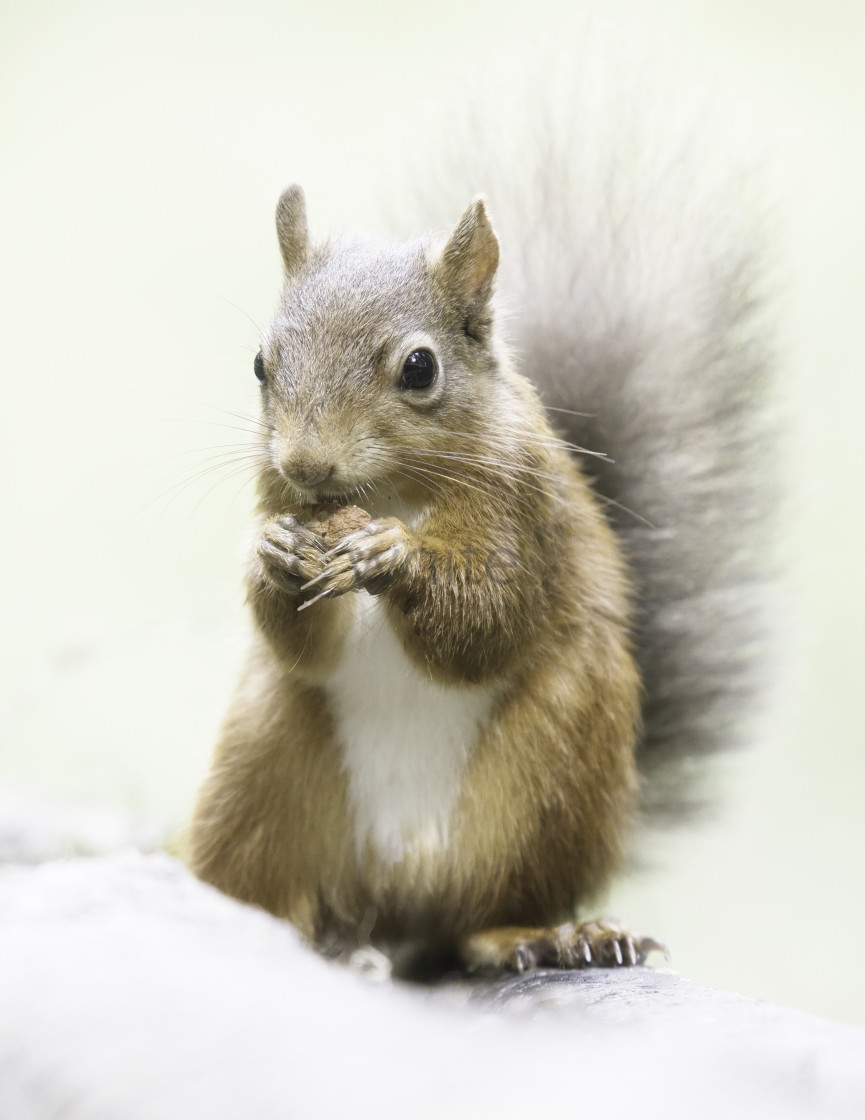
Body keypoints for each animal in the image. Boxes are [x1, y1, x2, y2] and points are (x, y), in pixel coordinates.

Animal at [185, 72, 775, 981]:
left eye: (419, 368)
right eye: (259, 365)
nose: (309, 466)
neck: (389, 492)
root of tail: (395, 900)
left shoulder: (523, 513)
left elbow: (488, 617)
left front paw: (392, 557)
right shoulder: (271, 494)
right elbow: (301, 640)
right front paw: (276, 553)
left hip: (551, 773)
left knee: (476, 919)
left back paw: (546, 935)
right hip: (263, 767)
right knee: (273, 884)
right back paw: (290, 929)